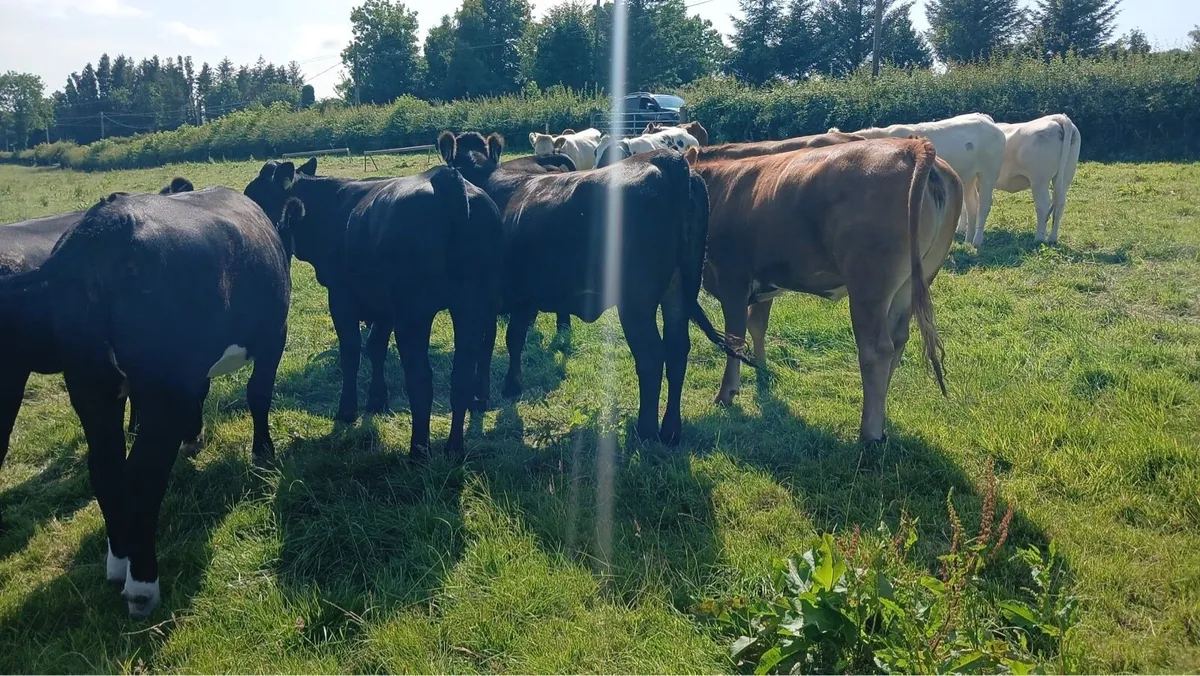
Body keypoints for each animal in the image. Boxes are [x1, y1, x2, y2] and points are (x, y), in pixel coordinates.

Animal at [243, 134, 504, 459]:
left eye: (254, 196)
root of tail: (449, 178)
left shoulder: (341, 295)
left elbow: (352, 351)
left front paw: (347, 411)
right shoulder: (383, 303)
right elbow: (376, 346)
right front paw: (377, 402)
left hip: (415, 312)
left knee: (420, 378)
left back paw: (418, 452)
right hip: (473, 305)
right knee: (462, 375)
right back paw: (454, 448)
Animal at [449, 131, 751, 445]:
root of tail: (665, 159)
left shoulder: (486, 299)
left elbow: (486, 346)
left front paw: (480, 397)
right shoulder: (524, 297)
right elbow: (514, 338)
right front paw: (512, 385)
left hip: (636, 300)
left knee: (651, 355)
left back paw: (646, 430)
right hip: (678, 291)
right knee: (677, 350)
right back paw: (670, 431)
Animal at [686, 137, 963, 443]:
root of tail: (911, 146)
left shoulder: (732, 279)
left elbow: (734, 338)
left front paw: (726, 394)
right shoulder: (765, 282)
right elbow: (757, 325)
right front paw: (760, 367)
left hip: (869, 285)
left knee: (876, 349)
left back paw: (869, 433)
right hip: (912, 283)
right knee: (898, 339)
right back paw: (881, 415)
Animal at [838, 113, 1004, 249]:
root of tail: (986, 120)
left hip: (988, 173)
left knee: (983, 205)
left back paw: (977, 240)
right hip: (968, 177)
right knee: (971, 205)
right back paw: (966, 237)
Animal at [992, 114, 1081, 244]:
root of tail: (1057, 117)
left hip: (1039, 180)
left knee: (1043, 205)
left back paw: (1039, 238)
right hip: (1066, 175)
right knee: (1060, 203)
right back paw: (1052, 238)